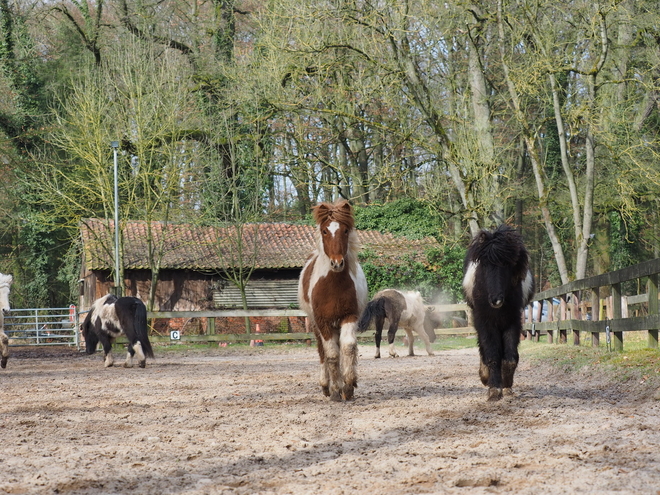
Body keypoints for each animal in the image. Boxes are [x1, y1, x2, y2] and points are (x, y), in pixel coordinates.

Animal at [298, 200, 368, 402]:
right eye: (324, 231)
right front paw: (336, 389)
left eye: (345, 230)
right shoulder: (323, 322)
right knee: (322, 351)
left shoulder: (349, 316)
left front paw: (348, 386)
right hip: (315, 324)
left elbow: (348, 348)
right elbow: (331, 355)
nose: (337, 263)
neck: (333, 285)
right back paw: (325, 386)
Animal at [462, 225, 532, 404]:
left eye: (507, 265)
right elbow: (492, 355)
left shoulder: (512, 321)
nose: (496, 300)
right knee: (483, 348)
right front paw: (494, 389)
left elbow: (510, 358)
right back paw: (485, 375)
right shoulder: (485, 322)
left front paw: (506, 384)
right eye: (485, 265)